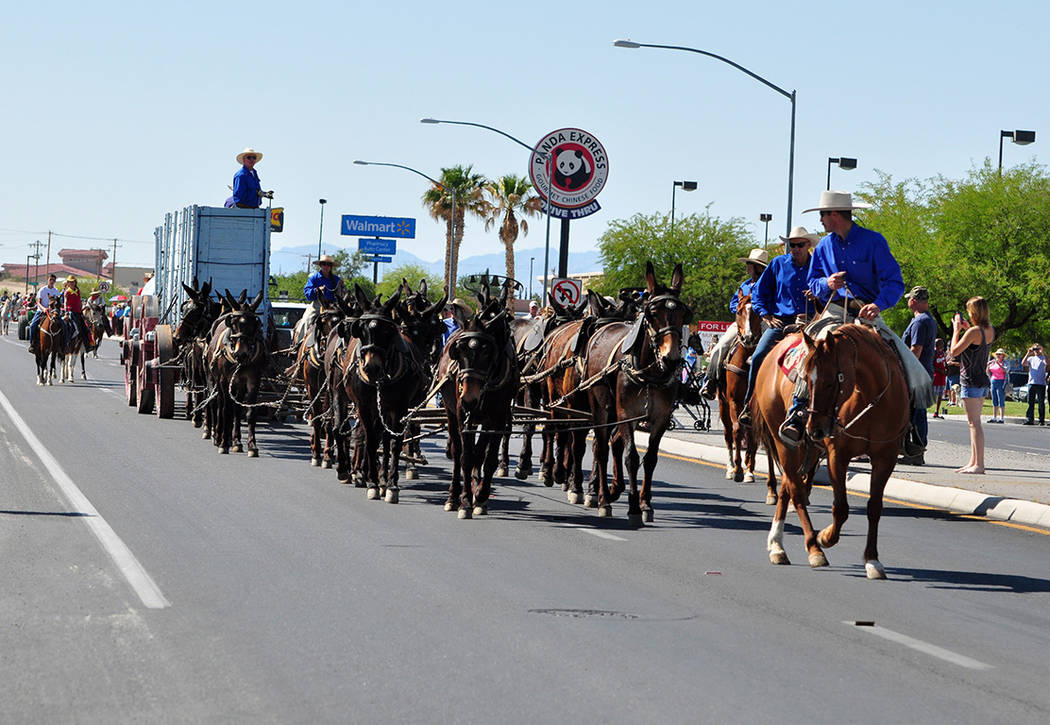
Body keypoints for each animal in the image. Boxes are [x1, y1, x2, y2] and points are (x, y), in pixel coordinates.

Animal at [583, 262, 688, 523]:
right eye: (652, 313)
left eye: (684, 314)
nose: (671, 359)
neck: (649, 373)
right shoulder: (626, 415)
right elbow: (631, 456)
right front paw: (632, 506)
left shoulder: (660, 418)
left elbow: (650, 459)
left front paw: (645, 503)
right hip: (601, 408)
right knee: (601, 448)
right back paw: (602, 498)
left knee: (610, 445)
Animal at [755, 321, 911, 575]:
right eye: (805, 379)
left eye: (830, 382)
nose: (813, 428)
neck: (868, 397)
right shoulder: (838, 455)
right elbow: (841, 508)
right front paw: (825, 538)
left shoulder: (885, 457)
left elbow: (874, 507)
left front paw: (872, 559)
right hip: (785, 443)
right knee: (796, 491)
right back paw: (812, 548)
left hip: (805, 450)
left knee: (788, 485)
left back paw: (777, 545)